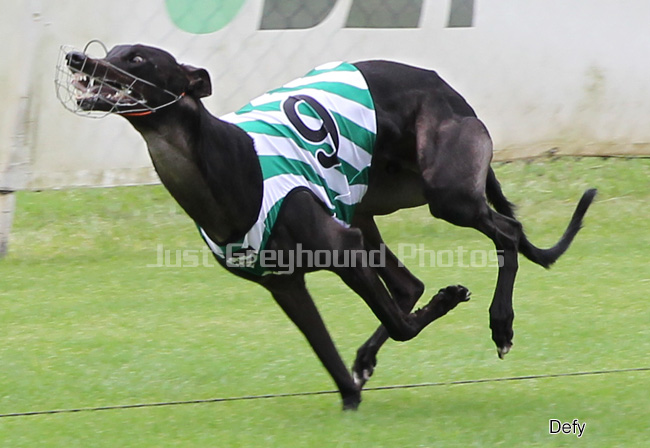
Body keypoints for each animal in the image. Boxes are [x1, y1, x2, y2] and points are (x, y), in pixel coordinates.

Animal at [58, 43, 596, 410]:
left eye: (138, 58)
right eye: (111, 51)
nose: (75, 58)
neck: (227, 160)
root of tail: (449, 90)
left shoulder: (342, 248)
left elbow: (402, 327)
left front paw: (450, 299)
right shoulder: (285, 285)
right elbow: (327, 350)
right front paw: (351, 398)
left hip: (446, 195)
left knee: (505, 233)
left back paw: (500, 323)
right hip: (364, 207)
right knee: (408, 284)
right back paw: (369, 356)